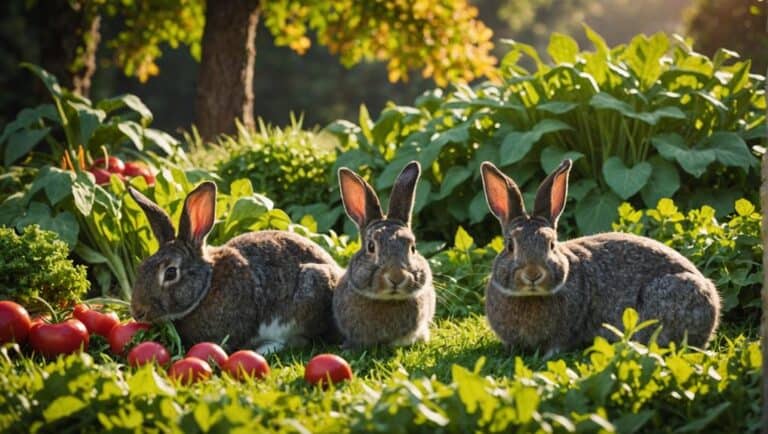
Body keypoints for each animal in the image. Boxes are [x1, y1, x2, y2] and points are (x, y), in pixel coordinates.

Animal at [480, 159, 720, 355]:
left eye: (552, 245)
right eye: (510, 246)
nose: (532, 274)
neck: (529, 296)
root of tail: (713, 308)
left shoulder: (564, 333)